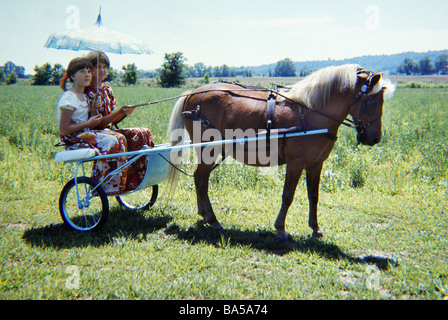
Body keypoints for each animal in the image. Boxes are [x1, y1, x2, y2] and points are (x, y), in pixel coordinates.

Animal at [166, 64, 394, 240]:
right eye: (371, 101)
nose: (375, 138)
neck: (310, 112)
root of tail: (194, 93)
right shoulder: (296, 164)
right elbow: (288, 196)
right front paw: (281, 229)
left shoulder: (315, 164)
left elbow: (314, 195)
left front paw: (315, 228)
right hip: (209, 149)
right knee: (201, 178)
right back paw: (213, 220)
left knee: (200, 178)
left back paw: (205, 215)